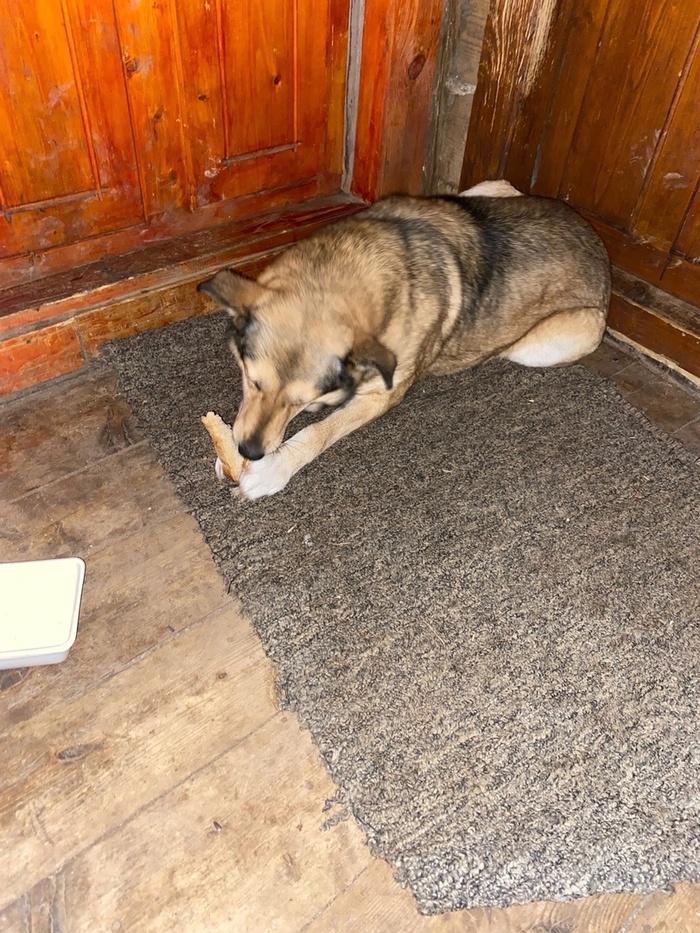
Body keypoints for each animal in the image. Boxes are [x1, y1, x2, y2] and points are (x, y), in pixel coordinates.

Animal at [197, 181, 610, 500]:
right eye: (251, 381)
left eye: (305, 402)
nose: (248, 450)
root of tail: (598, 242)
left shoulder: (380, 396)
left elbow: (317, 432)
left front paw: (272, 469)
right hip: (481, 190)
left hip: (550, 343)